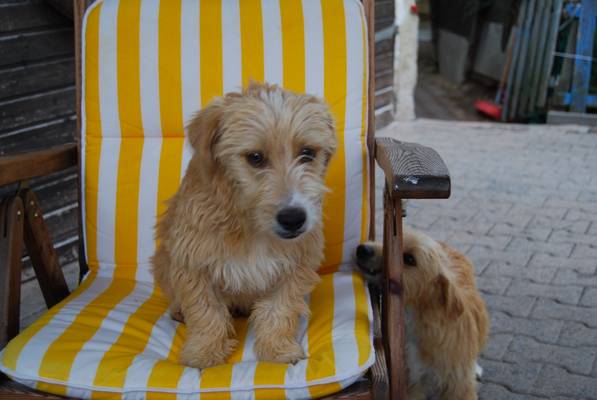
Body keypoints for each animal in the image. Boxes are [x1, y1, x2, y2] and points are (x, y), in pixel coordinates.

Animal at [152, 82, 337, 369]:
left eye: (307, 153)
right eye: (255, 157)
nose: (293, 218)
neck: (251, 225)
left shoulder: (296, 265)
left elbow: (279, 310)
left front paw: (277, 349)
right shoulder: (192, 262)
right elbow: (206, 312)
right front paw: (204, 352)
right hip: (162, 261)